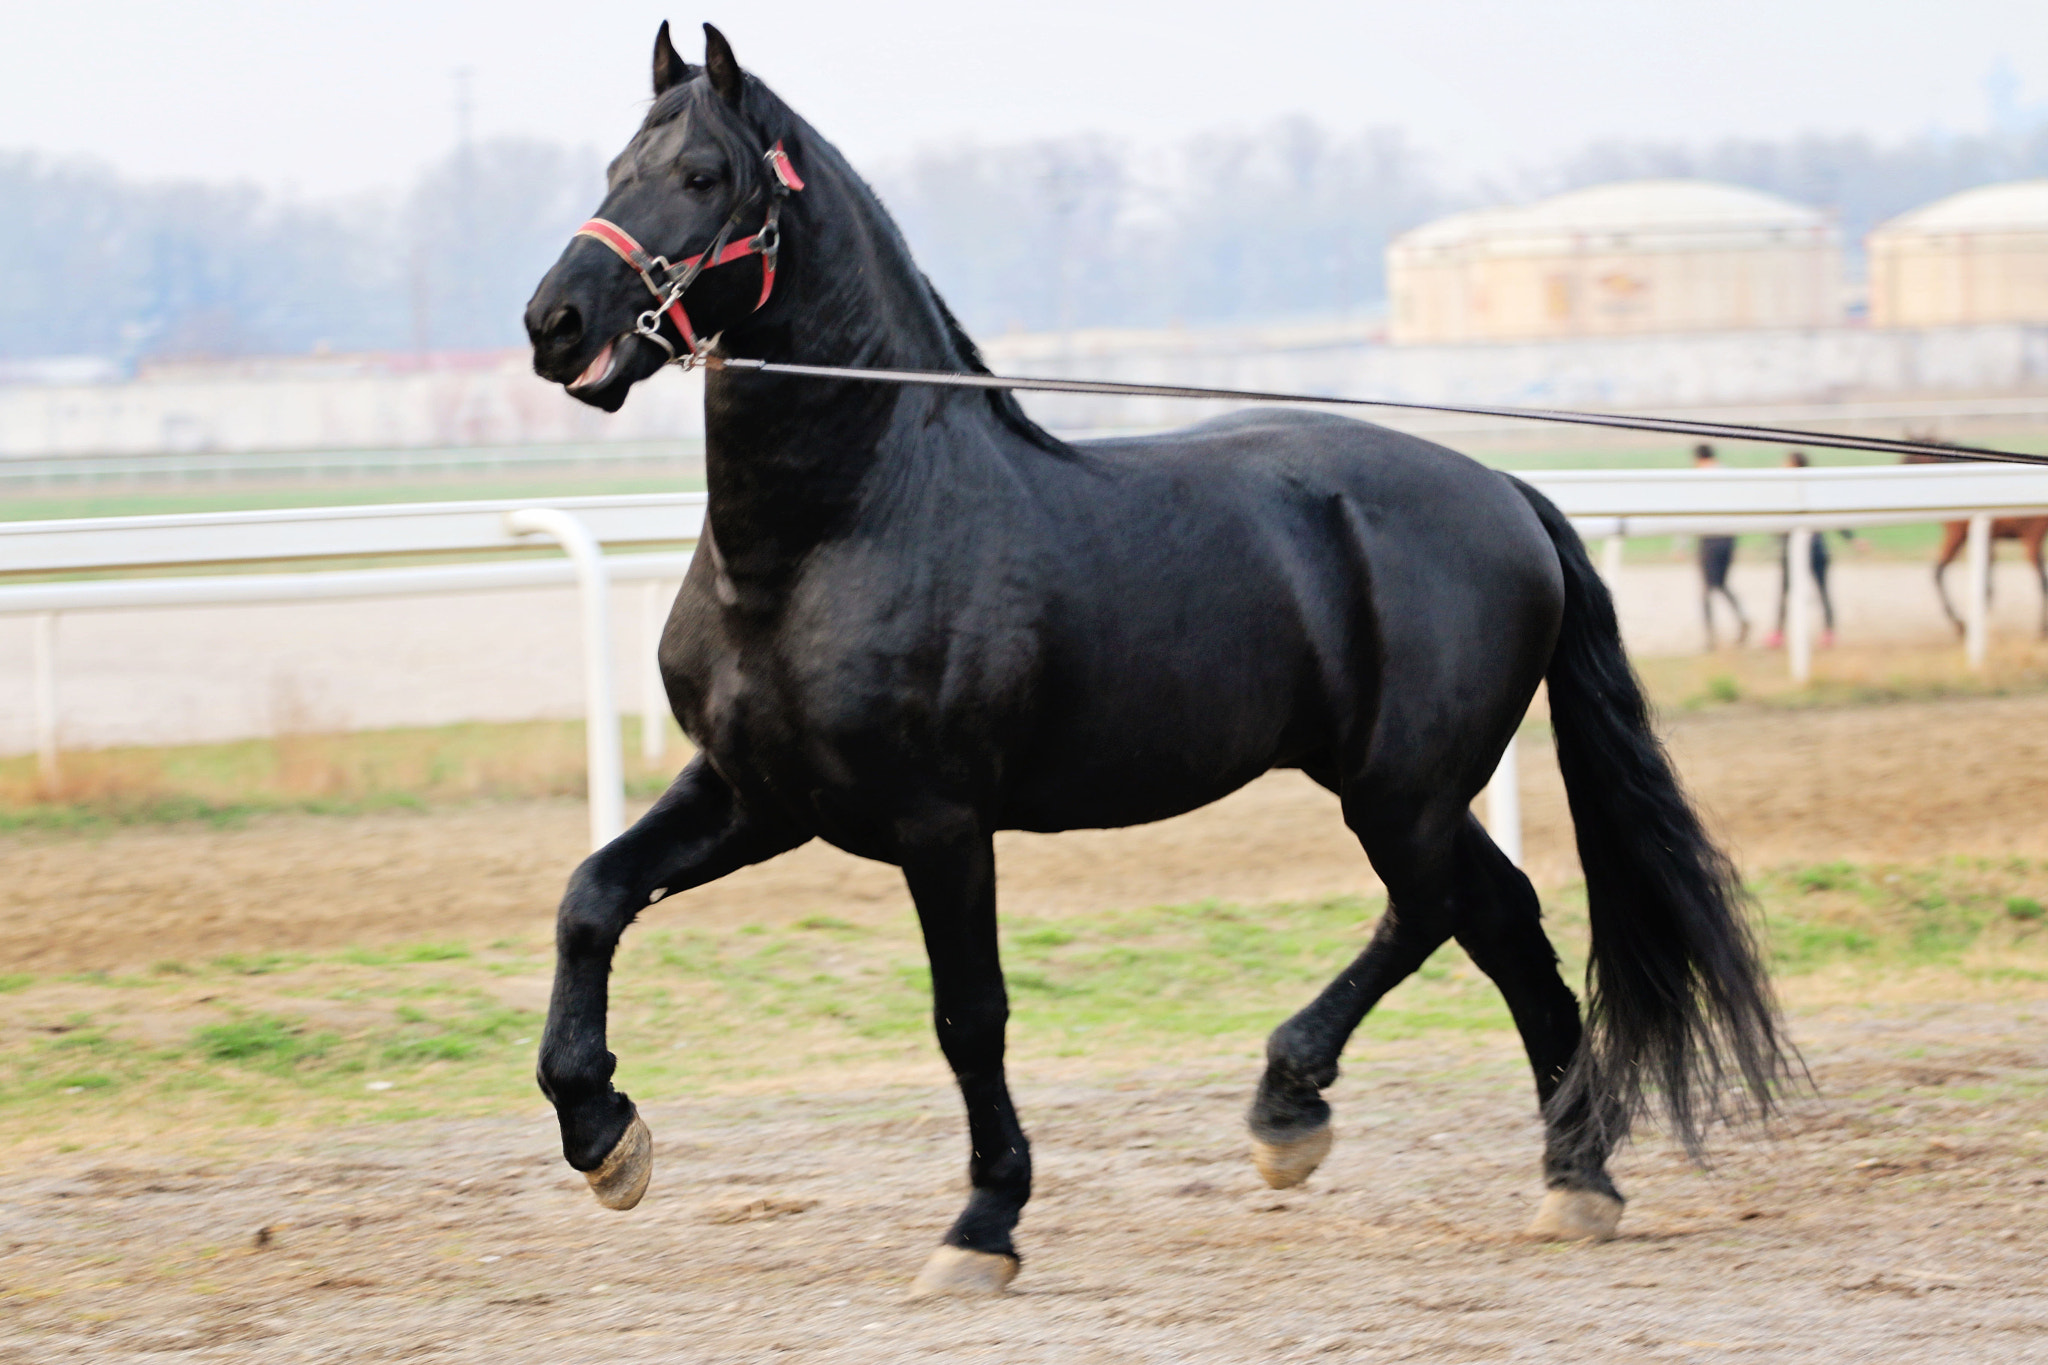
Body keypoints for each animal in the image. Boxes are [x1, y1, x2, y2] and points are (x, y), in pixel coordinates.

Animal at [521, 22, 1788, 1297]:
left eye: (701, 176)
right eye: (613, 168)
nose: (553, 322)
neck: (842, 528)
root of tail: (1504, 491)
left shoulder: (940, 823)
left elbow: (966, 1015)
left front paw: (983, 1224)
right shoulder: (760, 796)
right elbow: (592, 898)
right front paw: (603, 1133)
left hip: (1399, 790)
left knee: (1436, 908)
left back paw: (1295, 1107)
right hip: (1396, 786)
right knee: (1498, 918)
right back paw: (1571, 1175)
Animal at [1902, 450, 2048, 635]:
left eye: (1909, 460)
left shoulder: (1957, 534)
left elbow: (1939, 571)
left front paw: (1961, 623)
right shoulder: (1987, 537)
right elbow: (1987, 574)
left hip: (2031, 538)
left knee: (2041, 579)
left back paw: (2041, 628)